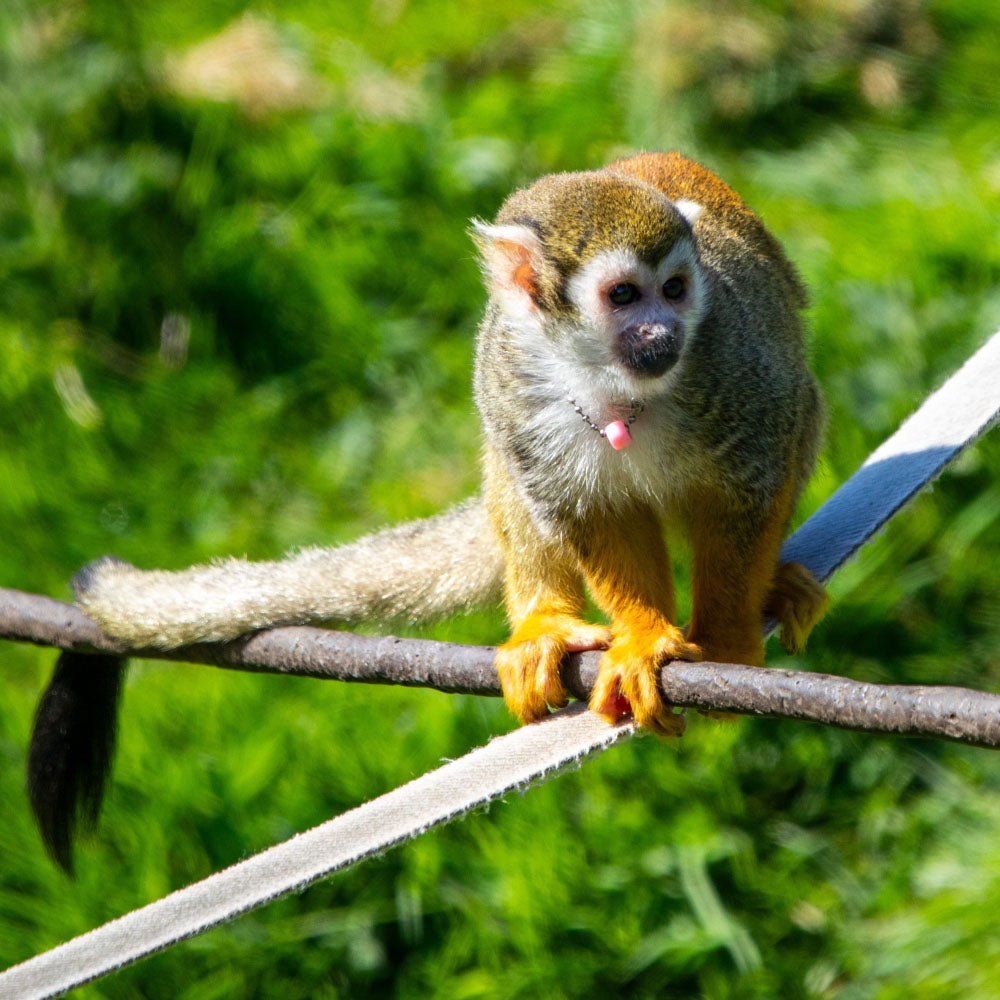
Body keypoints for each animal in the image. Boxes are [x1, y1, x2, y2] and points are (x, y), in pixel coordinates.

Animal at [32, 152, 828, 866]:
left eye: (676, 289)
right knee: (517, 473)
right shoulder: (514, 373)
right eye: (625, 295)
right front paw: (641, 631)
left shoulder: (731, 360)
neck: (612, 383)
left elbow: (749, 481)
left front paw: (724, 639)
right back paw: (544, 619)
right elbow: (587, 512)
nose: (664, 334)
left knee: (798, 413)